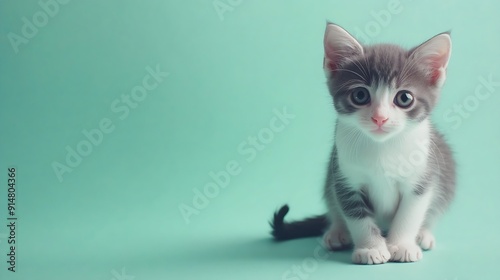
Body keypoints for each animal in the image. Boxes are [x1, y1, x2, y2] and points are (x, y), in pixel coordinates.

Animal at [272, 22, 456, 264]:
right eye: (360, 95)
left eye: (404, 98)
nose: (380, 118)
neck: (382, 148)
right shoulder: (345, 178)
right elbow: (356, 216)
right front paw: (371, 248)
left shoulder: (421, 178)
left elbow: (410, 213)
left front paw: (401, 245)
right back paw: (336, 232)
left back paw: (423, 234)